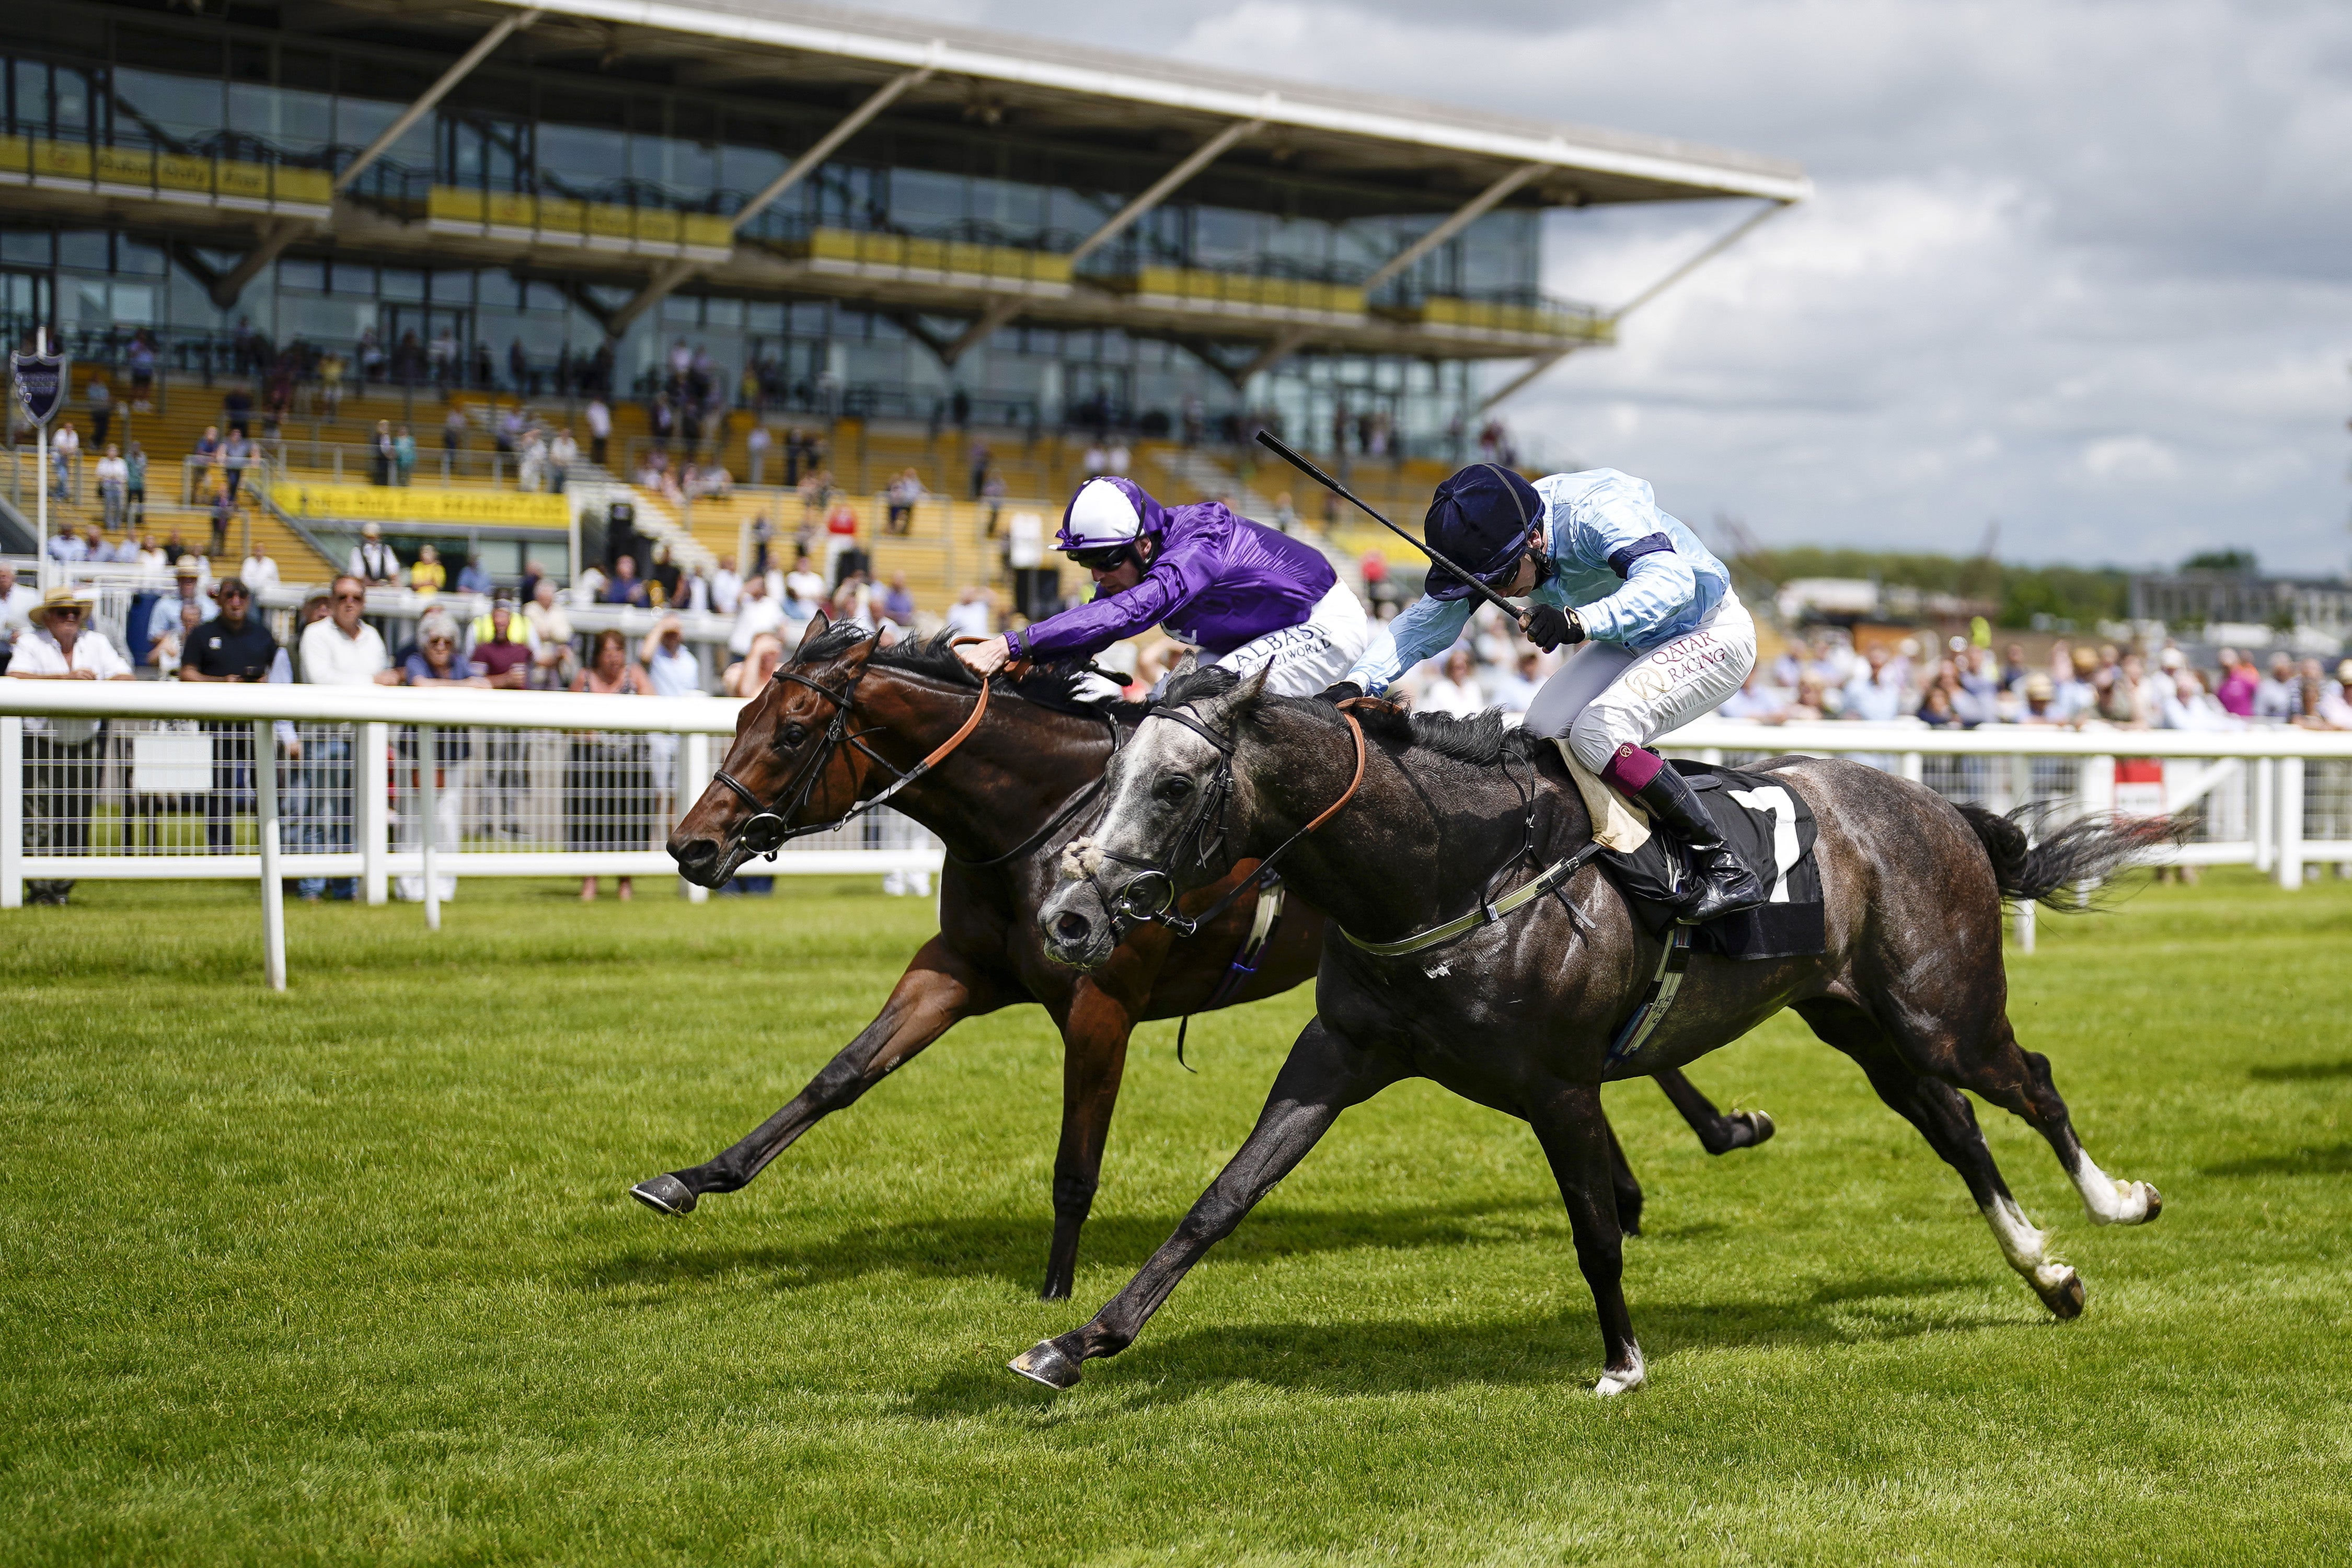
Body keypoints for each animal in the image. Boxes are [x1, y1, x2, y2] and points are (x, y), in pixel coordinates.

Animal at [654, 620, 1769, 1297]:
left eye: (792, 730)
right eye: (740, 714)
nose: (691, 848)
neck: (1036, 812)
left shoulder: (1100, 998)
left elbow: (1076, 1162)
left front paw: (1057, 1294)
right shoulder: (962, 967)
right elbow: (840, 1074)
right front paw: (693, 1177)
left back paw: (1716, 1130)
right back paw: (1656, 1168)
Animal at [1021, 663, 2154, 1382]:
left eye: (1173, 787)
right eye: (1106, 776)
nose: (1067, 916)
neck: (1457, 872)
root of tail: (1938, 806)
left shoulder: (1559, 1086)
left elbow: (1596, 1231)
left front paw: (1622, 1362)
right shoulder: (1339, 1053)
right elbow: (1220, 1201)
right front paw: (1077, 1344)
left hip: (1938, 1005)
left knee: (2031, 1079)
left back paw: (2116, 1202)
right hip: (1854, 1018)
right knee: (1951, 1123)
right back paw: (2048, 1274)